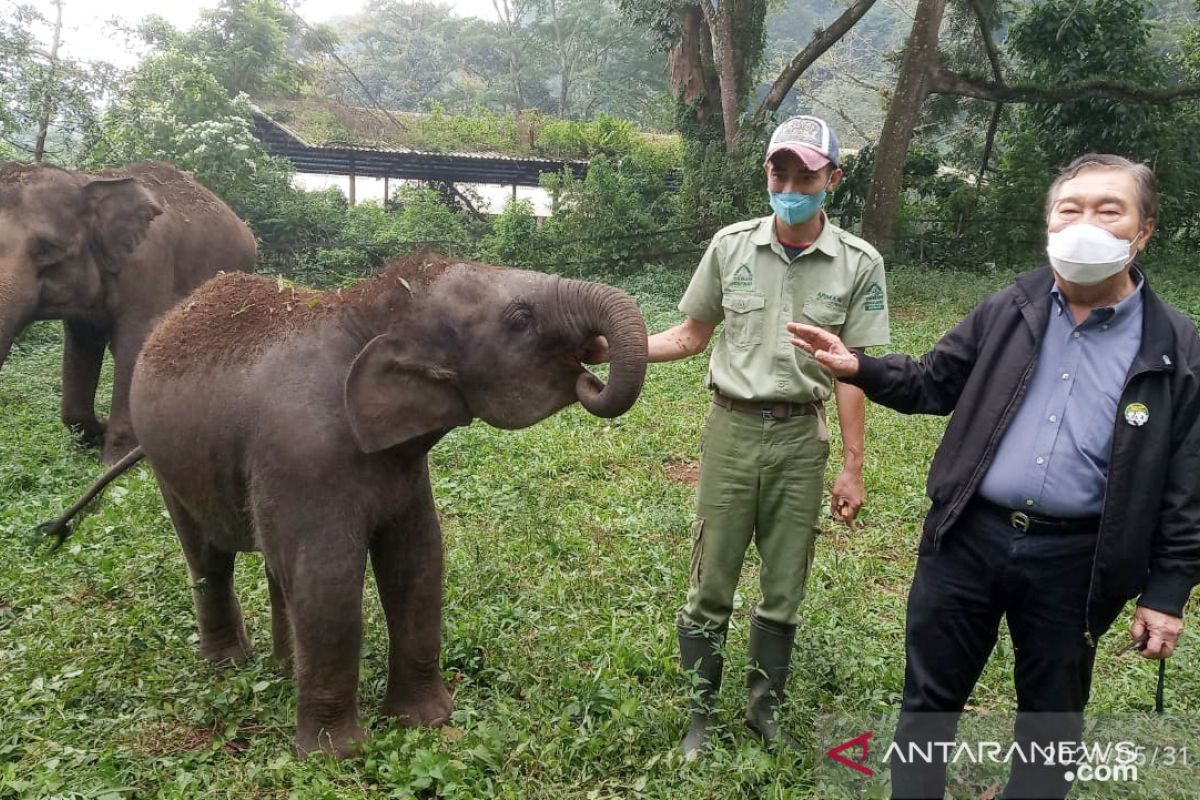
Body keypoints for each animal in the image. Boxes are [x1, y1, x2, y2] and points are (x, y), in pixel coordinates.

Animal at [0, 160, 255, 462]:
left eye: (47, 249)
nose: (101, 427)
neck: (86, 180)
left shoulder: (147, 267)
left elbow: (135, 343)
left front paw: (115, 461)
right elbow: (82, 346)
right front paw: (95, 435)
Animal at [39, 255, 648, 758]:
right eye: (519, 319)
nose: (591, 371)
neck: (370, 305)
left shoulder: (398, 462)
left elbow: (418, 562)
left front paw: (426, 722)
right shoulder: (304, 449)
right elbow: (330, 580)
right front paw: (338, 756)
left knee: (275, 562)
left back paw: (285, 667)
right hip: (171, 464)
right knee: (209, 558)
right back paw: (229, 665)